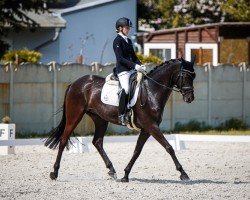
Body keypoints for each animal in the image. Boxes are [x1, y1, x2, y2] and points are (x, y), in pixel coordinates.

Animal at [46, 57, 196, 182]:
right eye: (186, 75)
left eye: (193, 76)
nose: (190, 98)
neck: (151, 91)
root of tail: (74, 83)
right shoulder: (151, 126)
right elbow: (169, 147)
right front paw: (183, 174)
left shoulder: (147, 129)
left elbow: (137, 151)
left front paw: (125, 175)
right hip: (75, 115)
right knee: (64, 140)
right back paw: (54, 173)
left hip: (100, 119)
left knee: (97, 142)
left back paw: (112, 170)